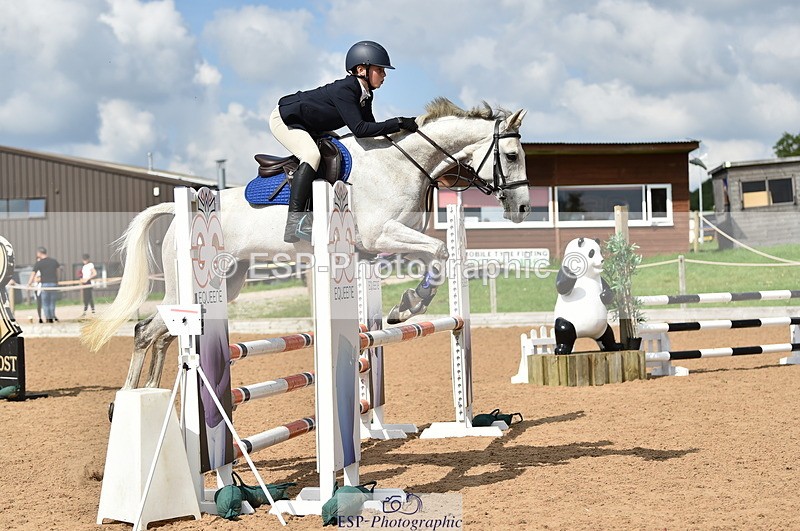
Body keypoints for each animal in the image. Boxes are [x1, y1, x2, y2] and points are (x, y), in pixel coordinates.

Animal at [82, 97, 531, 390]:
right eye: (511, 155)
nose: (523, 207)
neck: (402, 163)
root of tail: (181, 211)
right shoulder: (380, 233)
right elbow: (438, 252)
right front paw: (408, 307)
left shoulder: (384, 243)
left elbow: (439, 256)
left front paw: (405, 307)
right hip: (188, 284)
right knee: (145, 330)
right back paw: (128, 403)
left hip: (228, 282)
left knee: (162, 333)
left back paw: (151, 398)